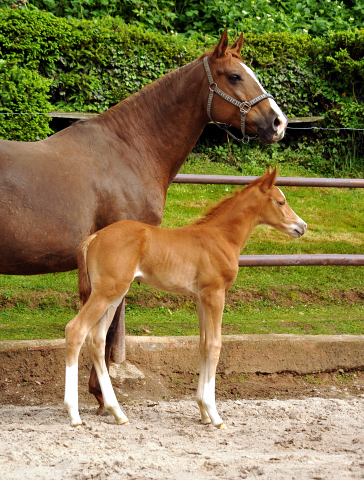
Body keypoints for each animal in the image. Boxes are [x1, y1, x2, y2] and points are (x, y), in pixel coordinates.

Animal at [64, 167, 306, 430]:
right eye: (280, 201)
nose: (302, 226)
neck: (221, 237)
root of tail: (94, 237)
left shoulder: (200, 299)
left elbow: (202, 345)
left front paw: (203, 411)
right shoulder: (215, 294)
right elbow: (215, 345)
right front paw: (215, 414)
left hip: (114, 296)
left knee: (97, 340)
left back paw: (117, 412)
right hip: (106, 292)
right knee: (75, 330)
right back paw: (74, 415)